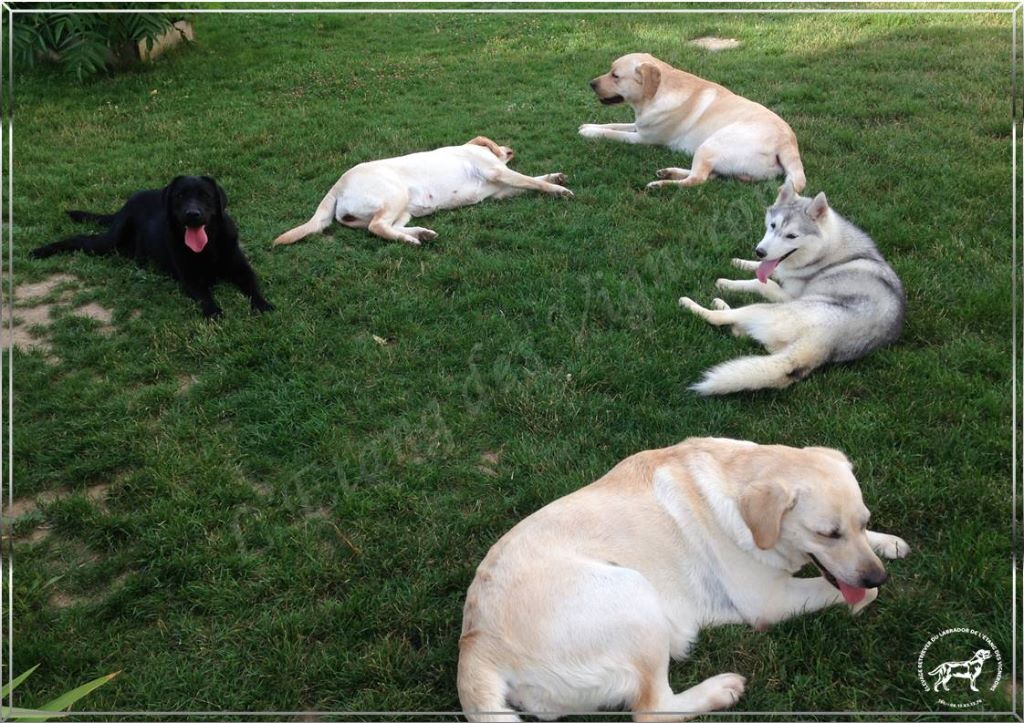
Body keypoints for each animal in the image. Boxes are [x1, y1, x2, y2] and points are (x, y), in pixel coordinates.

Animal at [29, 175, 272, 317]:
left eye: (205, 195)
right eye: (180, 196)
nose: (192, 214)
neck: (209, 244)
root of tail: (125, 205)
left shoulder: (241, 268)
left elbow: (253, 286)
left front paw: (263, 305)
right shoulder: (191, 280)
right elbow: (205, 297)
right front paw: (214, 312)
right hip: (110, 242)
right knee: (80, 239)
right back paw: (40, 250)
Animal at [272, 136, 573, 246]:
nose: (511, 148)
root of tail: (337, 184)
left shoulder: (501, 189)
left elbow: (533, 179)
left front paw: (555, 177)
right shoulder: (496, 172)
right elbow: (533, 181)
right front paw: (559, 189)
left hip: (404, 209)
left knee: (385, 227)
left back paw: (419, 235)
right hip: (396, 195)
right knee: (377, 227)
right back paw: (412, 240)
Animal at [460, 436, 909, 716]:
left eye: (862, 522)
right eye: (827, 534)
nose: (877, 577)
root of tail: (475, 647)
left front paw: (888, 542)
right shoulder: (770, 600)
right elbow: (844, 593)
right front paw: (864, 599)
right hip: (635, 594)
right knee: (653, 708)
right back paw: (719, 690)